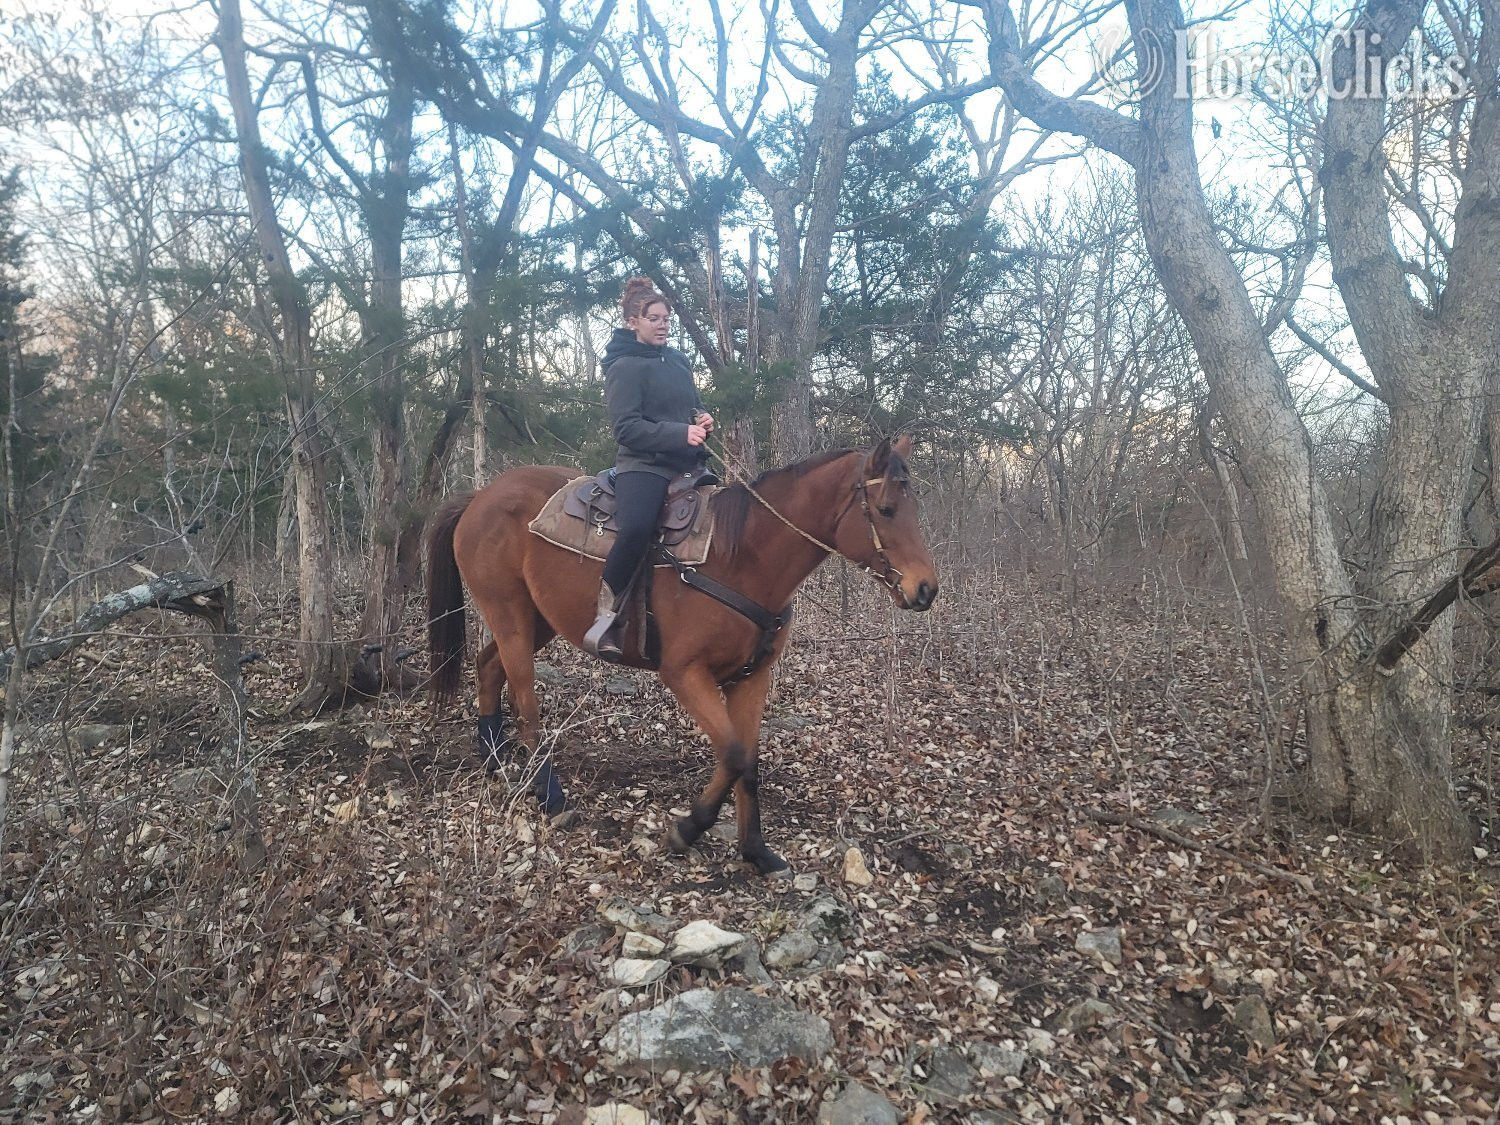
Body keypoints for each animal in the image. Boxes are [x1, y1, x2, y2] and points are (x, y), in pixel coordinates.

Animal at [425, 434, 939, 875]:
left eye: (915, 507)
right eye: (886, 509)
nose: (926, 589)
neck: (741, 558)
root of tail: (480, 496)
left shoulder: (751, 678)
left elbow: (749, 761)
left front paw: (756, 850)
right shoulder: (685, 673)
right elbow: (733, 754)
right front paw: (687, 829)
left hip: (539, 620)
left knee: (488, 668)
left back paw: (494, 761)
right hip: (508, 612)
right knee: (526, 701)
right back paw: (551, 797)